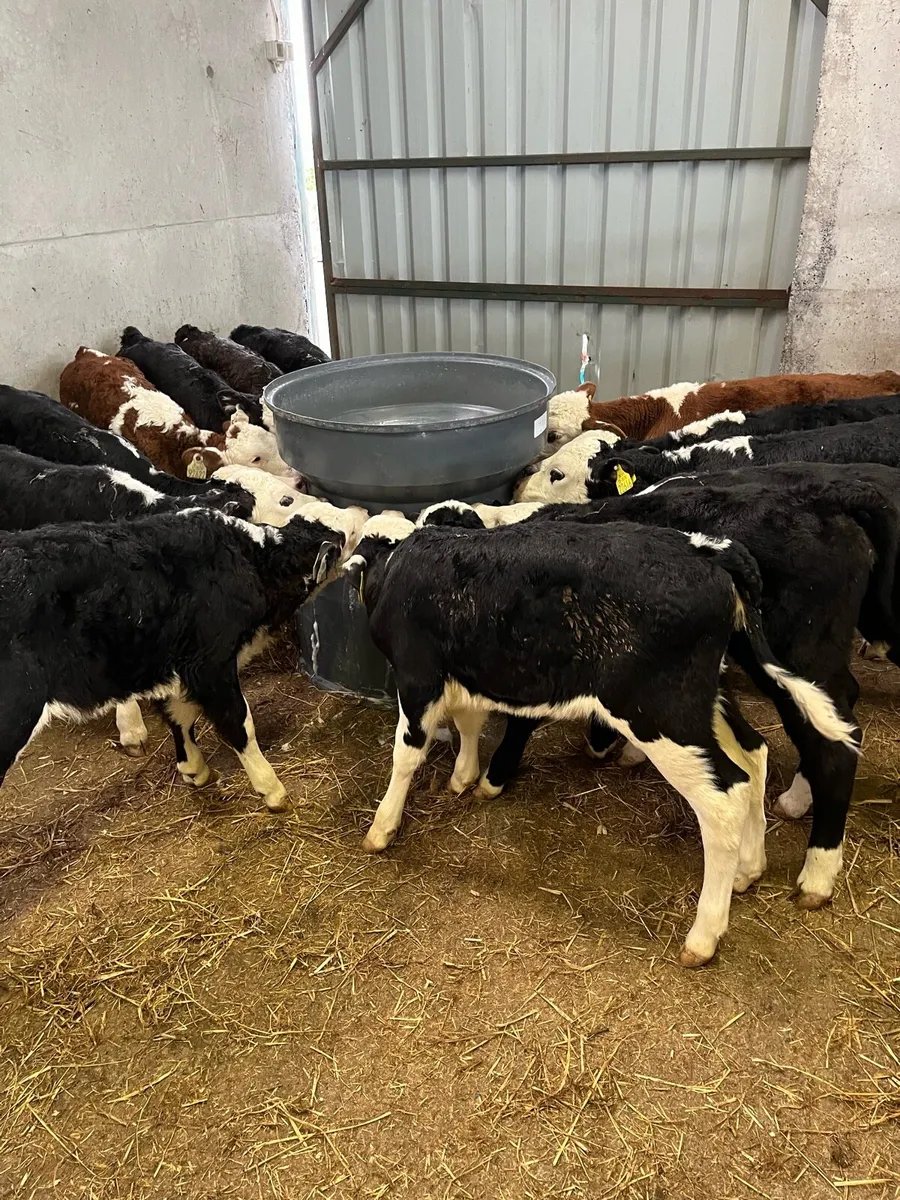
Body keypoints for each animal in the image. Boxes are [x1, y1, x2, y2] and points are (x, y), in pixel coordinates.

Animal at [0, 503, 364, 812]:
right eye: (349, 534)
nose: (361, 509)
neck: (252, 562)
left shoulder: (180, 664)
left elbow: (180, 713)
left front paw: (194, 768)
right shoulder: (210, 663)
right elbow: (238, 721)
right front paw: (271, 789)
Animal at [343, 515, 855, 966]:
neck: (402, 564)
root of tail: (707, 549)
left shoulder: (417, 677)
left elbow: (407, 753)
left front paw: (382, 827)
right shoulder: (465, 671)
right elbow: (470, 721)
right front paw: (464, 777)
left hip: (660, 716)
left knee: (724, 796)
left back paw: (704, 935)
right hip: (703, 703)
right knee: (752, 757)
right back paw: (749, 869)